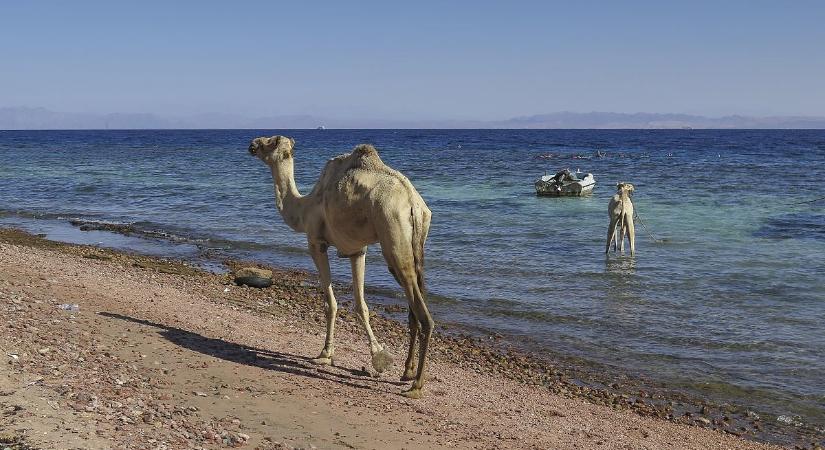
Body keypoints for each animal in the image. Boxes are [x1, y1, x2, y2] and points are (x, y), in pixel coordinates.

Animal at [248, 136, 434, 398]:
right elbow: (361, 305)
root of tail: (413, 204)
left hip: (393, 235)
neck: (304, 207)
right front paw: (377, 353)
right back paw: (407, 372)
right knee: (414, 307)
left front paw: (326, 354)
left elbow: (330, 303)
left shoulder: (316, 243)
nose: (252, 144)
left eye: (269, 142)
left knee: (422, 313)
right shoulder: (357, 251)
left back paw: (416, 385)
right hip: (416, 246)